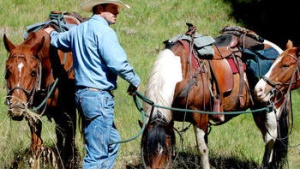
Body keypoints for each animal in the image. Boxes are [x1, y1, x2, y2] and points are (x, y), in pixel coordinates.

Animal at [2, 12, 82, 168]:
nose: (16, 108)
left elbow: (70, 142)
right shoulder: (33, 115)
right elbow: (36, 146)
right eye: (7, 72)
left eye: (33, 72)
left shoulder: (69, 112)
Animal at [141, 25, 290, 169]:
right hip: (258, 111)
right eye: (145, 151)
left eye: (165, 152)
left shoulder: (200, 116)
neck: (183, 72)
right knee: (267, 137)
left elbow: (202, 149)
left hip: (271, 108)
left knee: (271, 138)